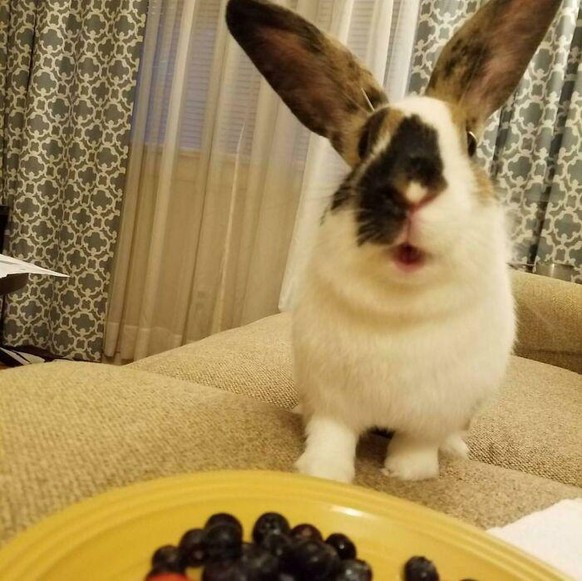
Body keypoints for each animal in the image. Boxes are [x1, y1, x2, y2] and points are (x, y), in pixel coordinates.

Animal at [226, 0, 564, 480]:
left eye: (470, 142)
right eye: (367, 144)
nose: (411, 189)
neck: (402, 304)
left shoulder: (434, 412)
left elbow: (417, 443)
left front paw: (409, 475)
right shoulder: (332, 398)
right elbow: (332, 433)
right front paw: (322, 471)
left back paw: (455, 449)